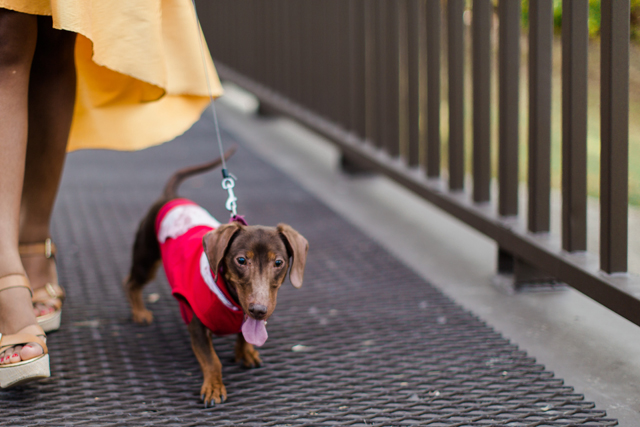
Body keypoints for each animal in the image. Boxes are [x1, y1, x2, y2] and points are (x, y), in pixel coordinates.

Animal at [123, 148, 310, 408]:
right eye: (241, 260)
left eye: (278, 262)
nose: (259, 310)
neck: (231, 301)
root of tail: (171, 197)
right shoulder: (195, 321)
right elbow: (211, 359)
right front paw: (213, 387)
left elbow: (244, 336)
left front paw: (246, 352)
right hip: (146, 258)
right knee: (131, 283)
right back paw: (139, 312)